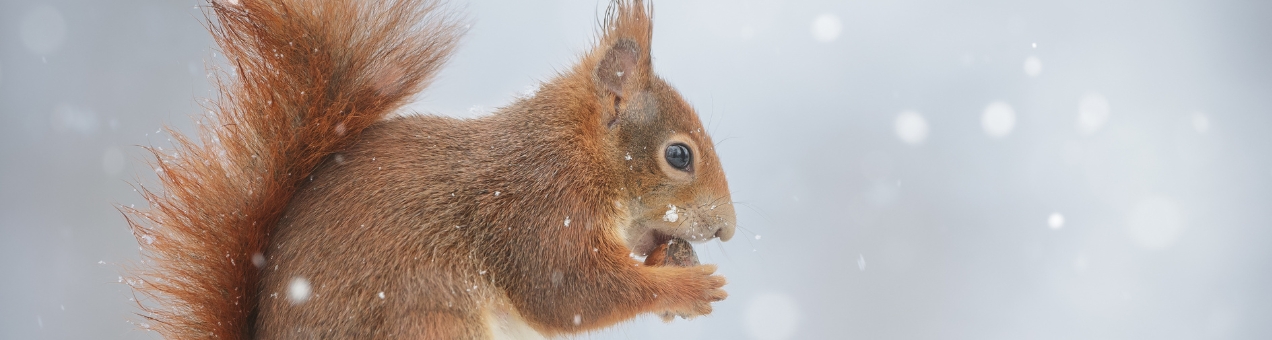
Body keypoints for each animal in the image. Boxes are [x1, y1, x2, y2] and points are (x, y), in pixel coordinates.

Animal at [124, 0, 742, 338]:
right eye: (679, 155)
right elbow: (570, 293)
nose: (727, 230)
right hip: (429, 320)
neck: (577, 150)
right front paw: (687, 288)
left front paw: (671, 264)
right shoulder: (538, 207)